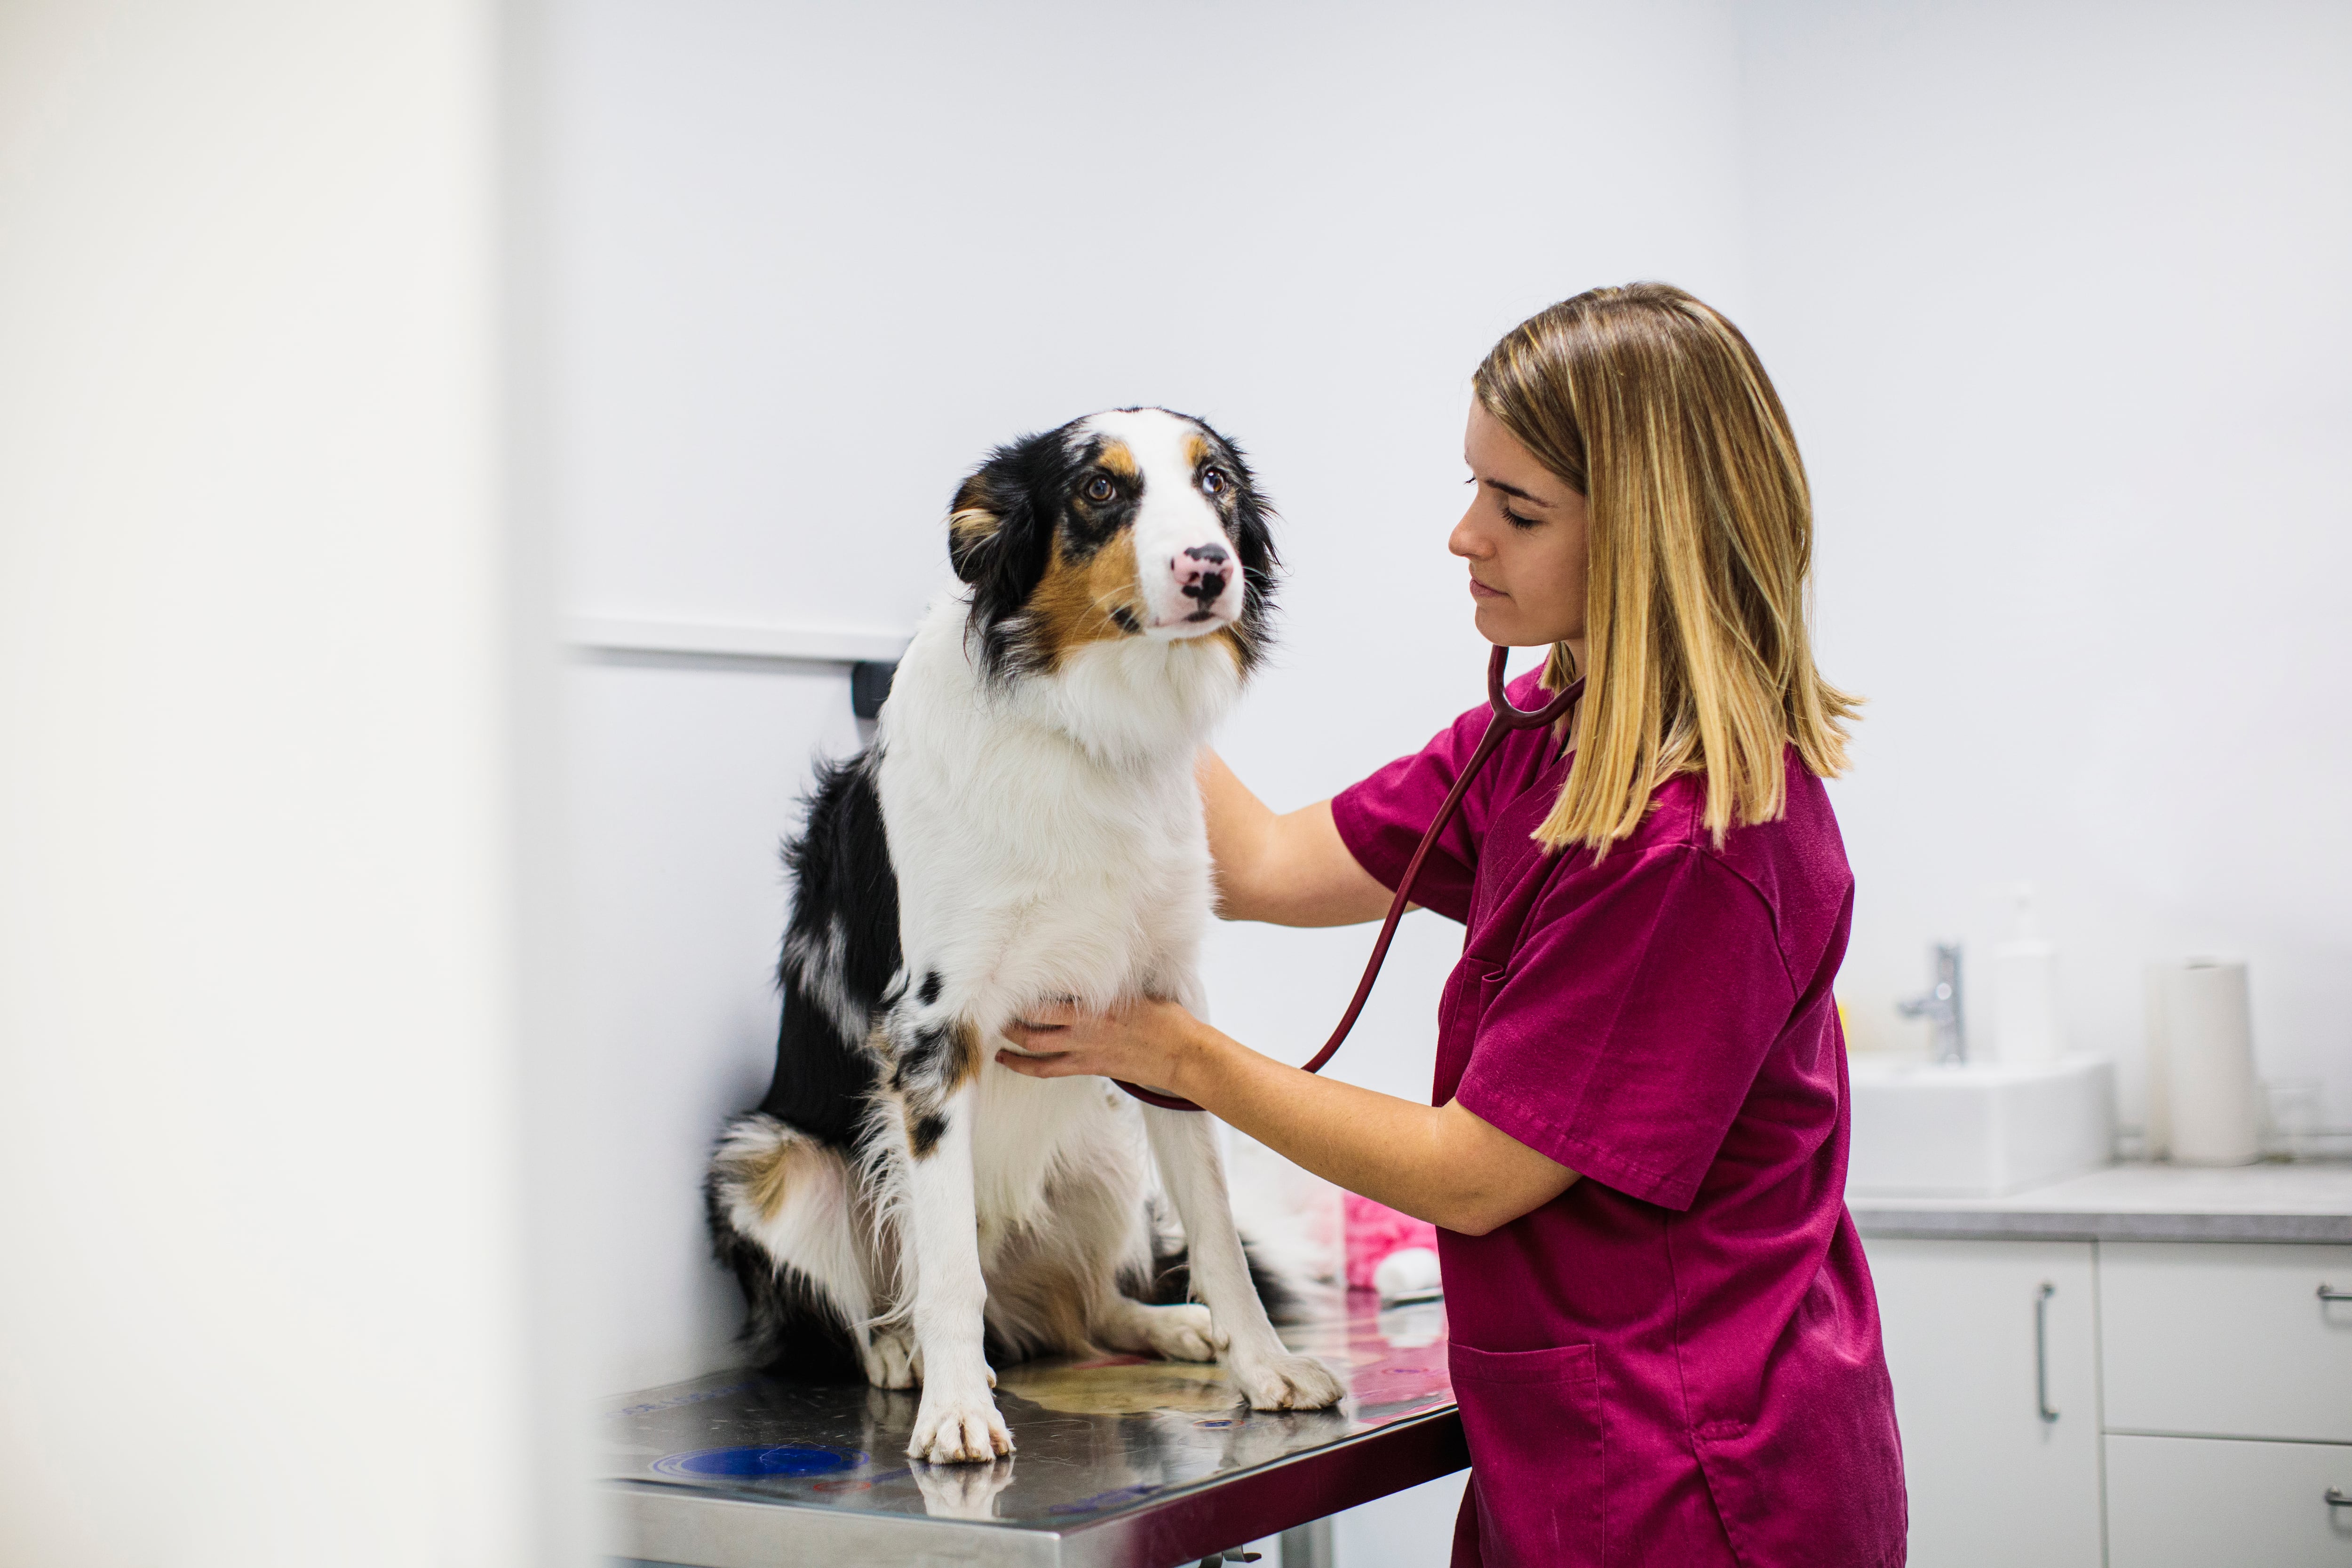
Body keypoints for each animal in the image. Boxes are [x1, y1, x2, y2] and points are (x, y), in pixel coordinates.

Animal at [701, 411, 1345, 1467]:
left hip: (1106, 1143)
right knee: (886, 1305)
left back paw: (1170, 1323)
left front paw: (1265, 1366)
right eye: (1098, 490)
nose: (1210, 569)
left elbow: (1215, 1228)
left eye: (1213, 480)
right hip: (766, 1164)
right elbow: (948, 1266)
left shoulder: (1168, 1013)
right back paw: (902, 1353)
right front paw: (958, 1408)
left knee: (1082, 1310)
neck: (1082, 723)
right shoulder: (933, 1034)